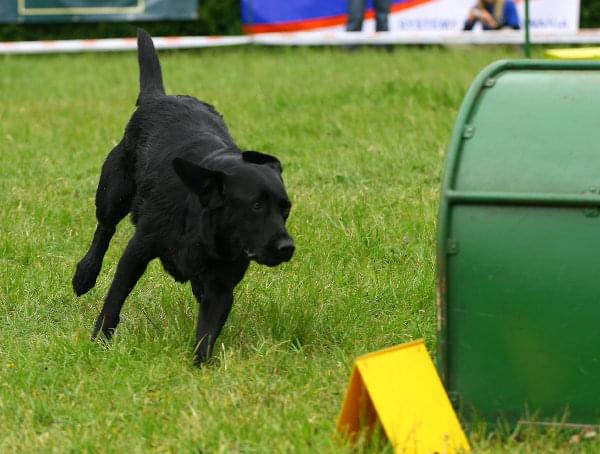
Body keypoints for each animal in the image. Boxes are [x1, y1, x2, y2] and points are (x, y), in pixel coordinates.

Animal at [72, 29, 296, 366]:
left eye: (285, 210)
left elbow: (207, 330)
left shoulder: (221, 284)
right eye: (255, 206)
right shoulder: (137, 252)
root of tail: (157, 97)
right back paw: (85, 274)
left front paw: (199, 367)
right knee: (104, 229)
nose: (287, 247)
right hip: (113, 193)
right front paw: (100, 340)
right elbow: (114, 300)